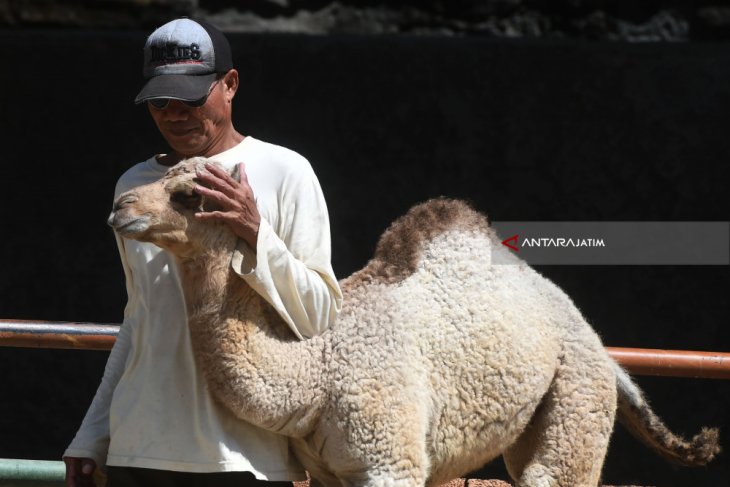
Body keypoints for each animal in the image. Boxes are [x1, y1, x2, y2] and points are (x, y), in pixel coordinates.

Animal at [106, 160, 716, 487]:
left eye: (189, 194)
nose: (120, 206)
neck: (317, 370)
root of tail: (600, 345)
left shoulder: (391, 457)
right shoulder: (329, 473)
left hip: (577, 393)